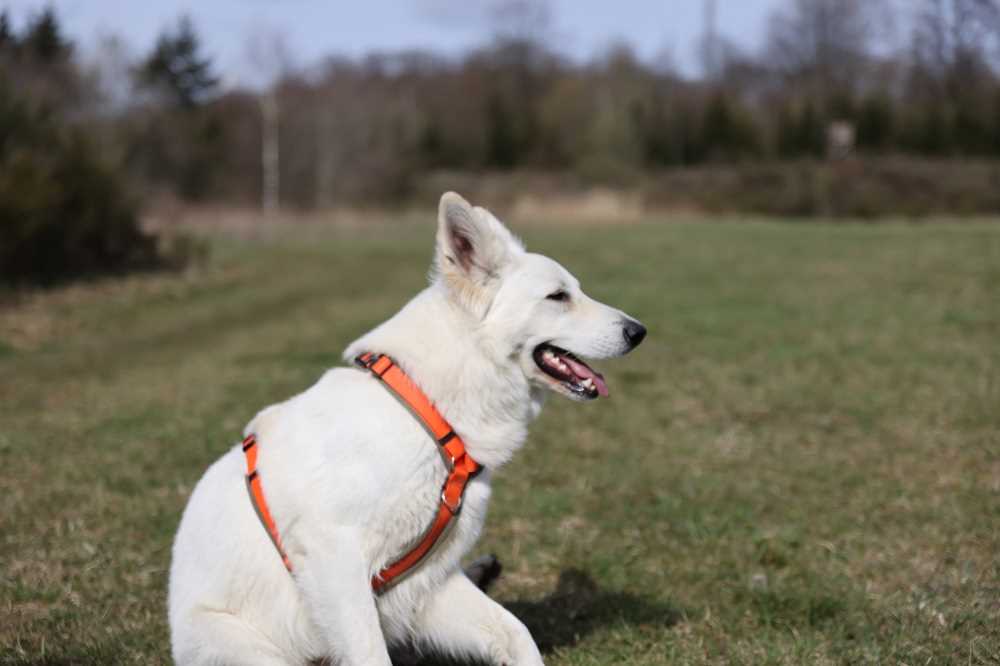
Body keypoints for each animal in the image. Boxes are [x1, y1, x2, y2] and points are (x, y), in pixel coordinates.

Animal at [168, 189, 644, 660]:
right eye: (558, 296)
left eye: (575, 290)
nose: (639, 331)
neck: (427, 411)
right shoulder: (335, 558)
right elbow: (371, 653)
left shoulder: (426, 584)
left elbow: (517, 632)